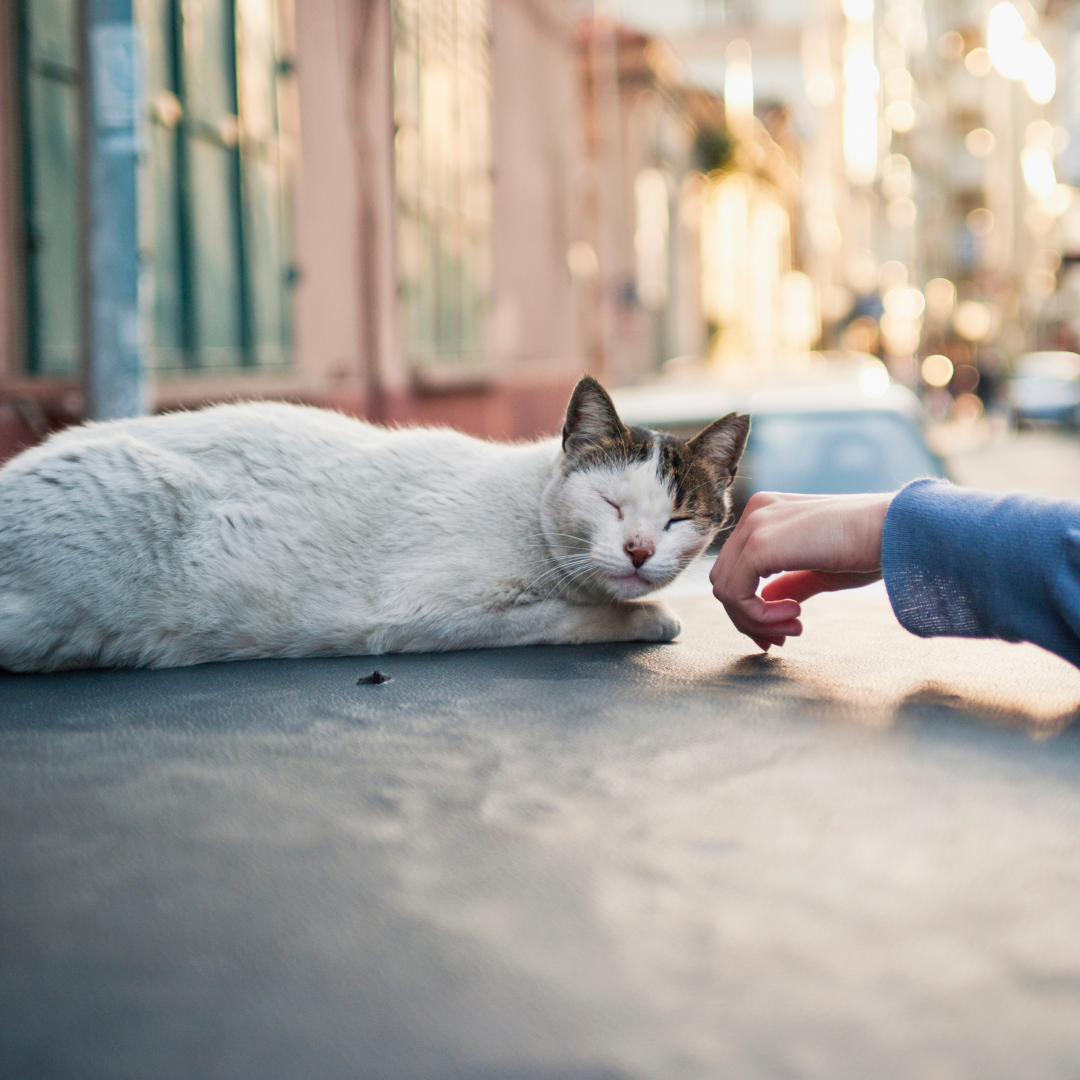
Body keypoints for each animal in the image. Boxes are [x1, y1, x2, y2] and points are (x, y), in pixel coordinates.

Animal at [0, 375, 743, 669]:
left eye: (677, 520)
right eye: (613, 505)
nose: (639, 549)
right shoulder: (435, 613)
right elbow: (576, 618)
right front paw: (652, 618)